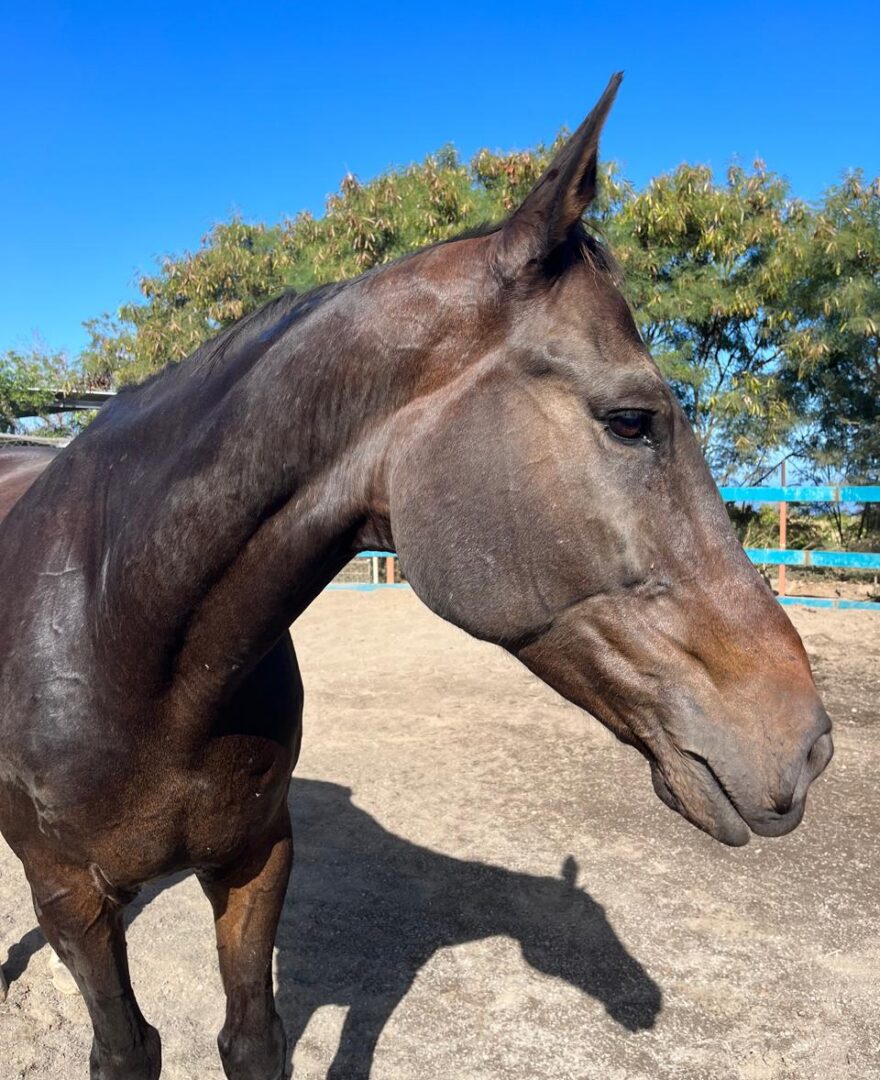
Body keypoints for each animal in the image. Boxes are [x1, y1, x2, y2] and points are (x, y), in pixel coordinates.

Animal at [0, 74, 832, 1080]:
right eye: (632, 420)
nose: (811, 745)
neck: (121, 628)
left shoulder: (255, 858)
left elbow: (254, 1039)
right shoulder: (69, 900)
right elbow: (127, 1047)